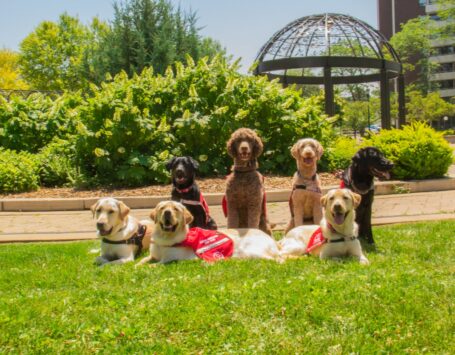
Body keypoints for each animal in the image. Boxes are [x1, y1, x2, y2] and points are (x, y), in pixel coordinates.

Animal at [137, 200, 284, 264]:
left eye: (175, 209)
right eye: (162, 208)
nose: (167, 213)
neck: (165, 239)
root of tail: (271, 239)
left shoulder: (170, 260)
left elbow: (154, 265)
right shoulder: (153, 255)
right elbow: (142, 261)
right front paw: (135, 265)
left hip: (250, 251)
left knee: (278, 259)